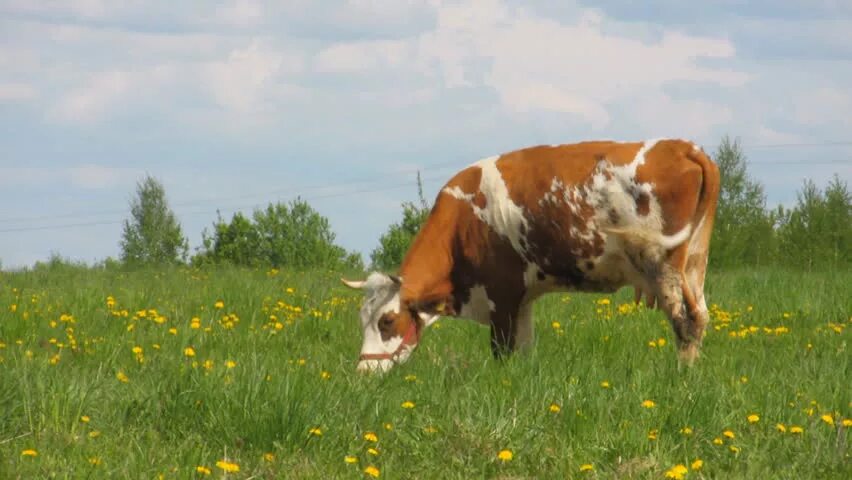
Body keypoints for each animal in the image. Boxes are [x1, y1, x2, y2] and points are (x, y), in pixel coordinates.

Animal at [342, 137, 724, 374]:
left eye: (386, 321)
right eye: (362, 319)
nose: (363, 371)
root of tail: (682, 147)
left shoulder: (500, 295)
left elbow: (501, 351)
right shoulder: (521, 299)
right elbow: (524, 351)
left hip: (665, 267)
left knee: (684, 321)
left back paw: (680, 375)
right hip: (694, 264)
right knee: (700, 316)